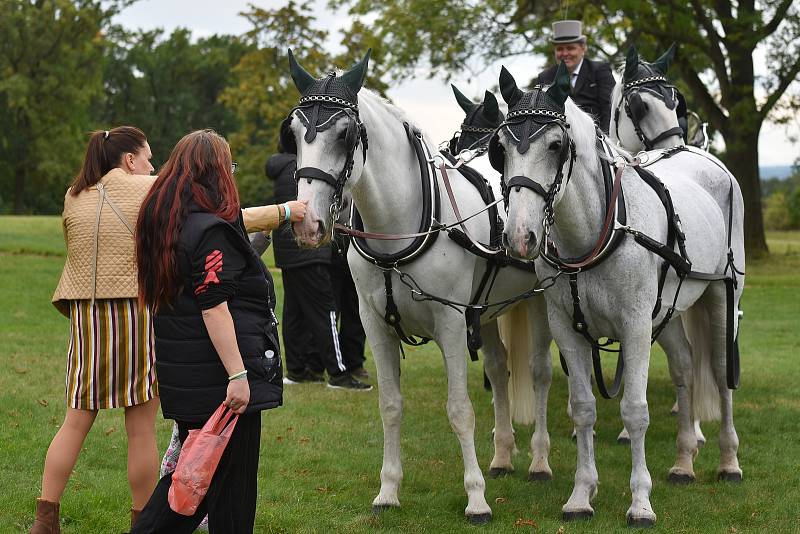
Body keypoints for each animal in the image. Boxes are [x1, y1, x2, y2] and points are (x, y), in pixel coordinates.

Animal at [286, 52, 556, 524]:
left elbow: (460, 409)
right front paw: (388, 491)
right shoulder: (376, 325)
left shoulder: (450, 321)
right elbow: (391, 406)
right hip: (486, 310)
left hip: (536, 302)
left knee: (538, 372)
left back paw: (539, 462)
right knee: (499, 370)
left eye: (345, 134)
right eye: (295, 133)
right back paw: (503, 456)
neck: (400, 224)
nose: (308, 222)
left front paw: (476, 499)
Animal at [496, 63, 748, 528]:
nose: (520, 237)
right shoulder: (567, 328)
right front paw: (581, 494)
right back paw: (683, 463)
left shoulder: (634, 327)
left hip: (722, 295)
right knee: (685, 368)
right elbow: (583, 408)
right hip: (667, 312)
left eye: (556, 145)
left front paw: (640, 502)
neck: (595, 233)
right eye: (500, 148)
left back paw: (728, 462)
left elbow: (635, 410)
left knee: (721, 372)